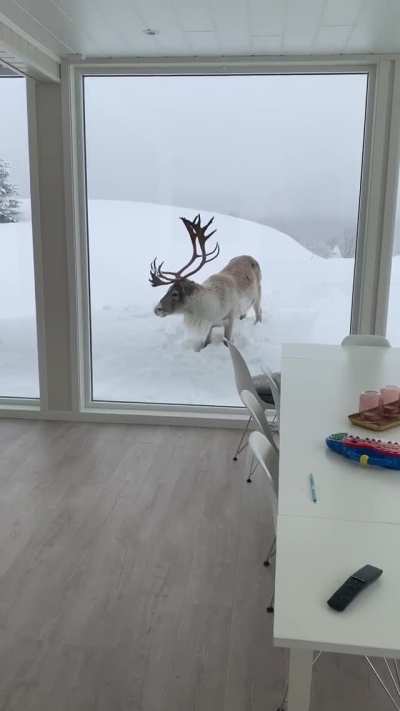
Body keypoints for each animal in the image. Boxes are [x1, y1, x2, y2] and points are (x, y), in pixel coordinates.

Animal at [149, 214, 262, 351]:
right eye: (168, 290)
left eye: (175, 293)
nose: (157, 309)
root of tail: (250, 257)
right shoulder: (210, 325)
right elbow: (205, 343)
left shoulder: (229, 320)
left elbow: (227, 342)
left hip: (258, 295)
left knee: (259, 313)